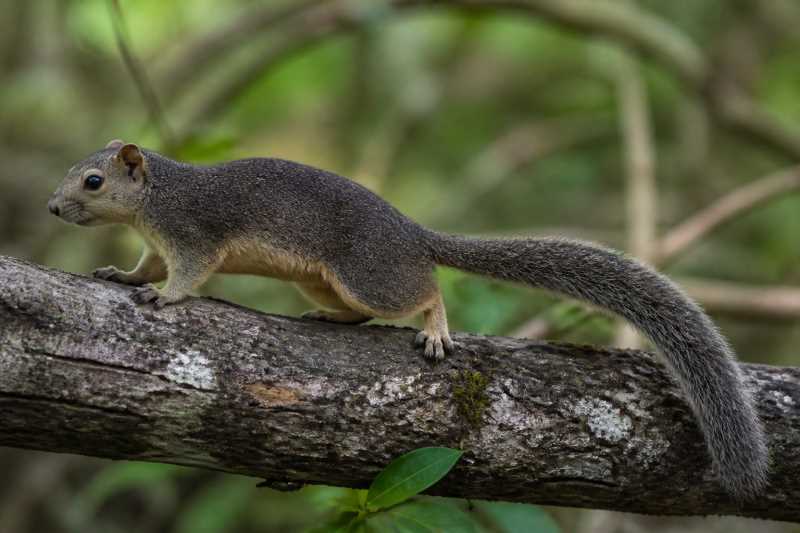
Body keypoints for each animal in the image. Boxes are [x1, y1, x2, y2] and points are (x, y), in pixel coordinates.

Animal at [49, 139, 768, 500]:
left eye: (92, 181)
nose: (53, 208)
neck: (157, 197)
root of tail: (413, 234)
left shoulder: (192, 234)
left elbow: (186, 276)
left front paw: (167, 300)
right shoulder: (156, 242)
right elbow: (144, 268)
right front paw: (122, 278)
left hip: (369, 274)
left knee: (425, 288)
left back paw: (436, 327)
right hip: (331, 279)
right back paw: (331, 320)